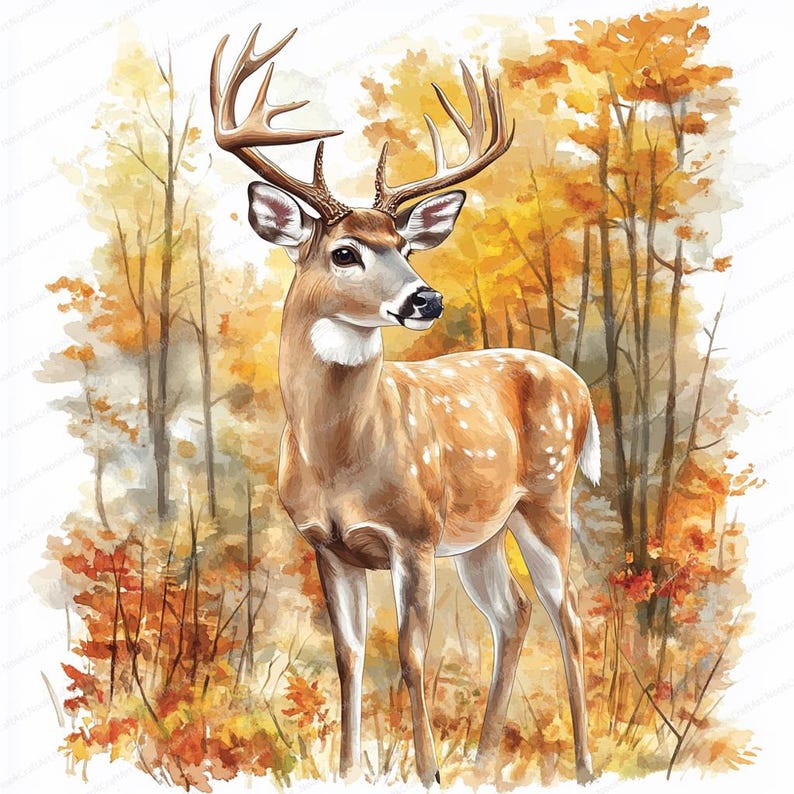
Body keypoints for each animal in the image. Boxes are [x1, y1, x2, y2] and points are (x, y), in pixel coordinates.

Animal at [210, 25, 599, 787]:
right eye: (345, 252)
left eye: (405, 246)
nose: (427, 298)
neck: (340, 458)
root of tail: (579, 386)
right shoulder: (326, 544)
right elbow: (350, 654)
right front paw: (347, 770)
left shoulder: (413, 535)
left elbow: (414, 652)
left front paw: (425, 772)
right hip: (482, 531)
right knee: (512, 614)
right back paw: (483, 760)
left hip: (546, 496)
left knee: (567, 615)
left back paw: (582, 767)